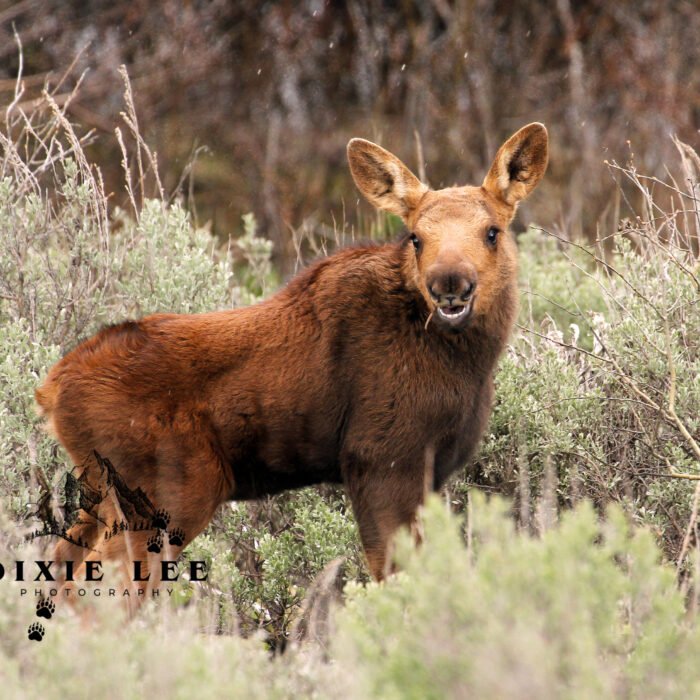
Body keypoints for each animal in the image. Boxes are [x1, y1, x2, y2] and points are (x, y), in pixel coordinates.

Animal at [36, 123, 548, 590]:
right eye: (416, 237)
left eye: (492, 231)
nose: (450, 283)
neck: (467, 366)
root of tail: (51, 391)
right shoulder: (380, 459)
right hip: (170, 489)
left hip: (98, 497)